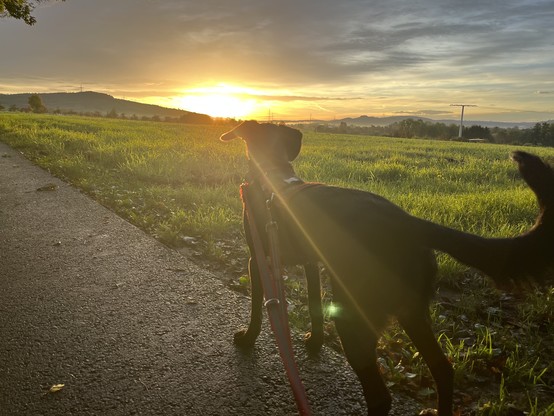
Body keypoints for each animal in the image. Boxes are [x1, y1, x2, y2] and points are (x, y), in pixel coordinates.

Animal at [221, 121, 552, 416]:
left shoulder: (256, 260)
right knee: (443, 369)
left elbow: (258, 307)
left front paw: (248, 338)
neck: (272, 176)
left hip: (356, 317)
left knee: (381, 398)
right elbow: (314, 304)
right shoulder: (311, 262)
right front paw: (315, 342)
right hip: (412, 310)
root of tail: (408, 223)